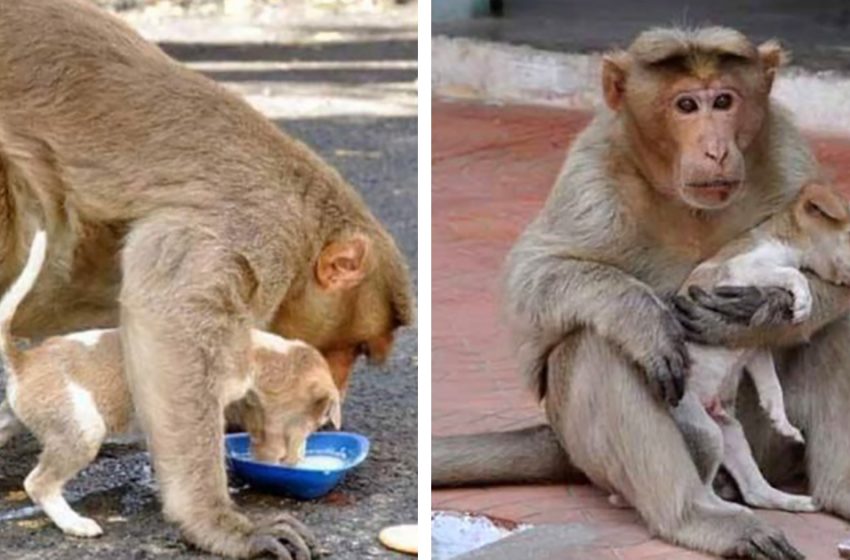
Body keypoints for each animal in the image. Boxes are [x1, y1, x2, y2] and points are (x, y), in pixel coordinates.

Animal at [0, 231, 342, 540]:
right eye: (317, 420)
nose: (298, 461)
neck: (258, 354)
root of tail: (24, 361)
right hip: (82, 430)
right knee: (39, 483)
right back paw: (75, 523)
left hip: (13, 419)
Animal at [668, 182, 848, 516]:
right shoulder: (741, 268)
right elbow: (793, 274)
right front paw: (803, 302)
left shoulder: (754, 345)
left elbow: (771, 384)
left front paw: (781, 420)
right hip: (705, 431)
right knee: (702, 488)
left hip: (731, 433)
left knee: (755, 492)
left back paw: (795, 501)